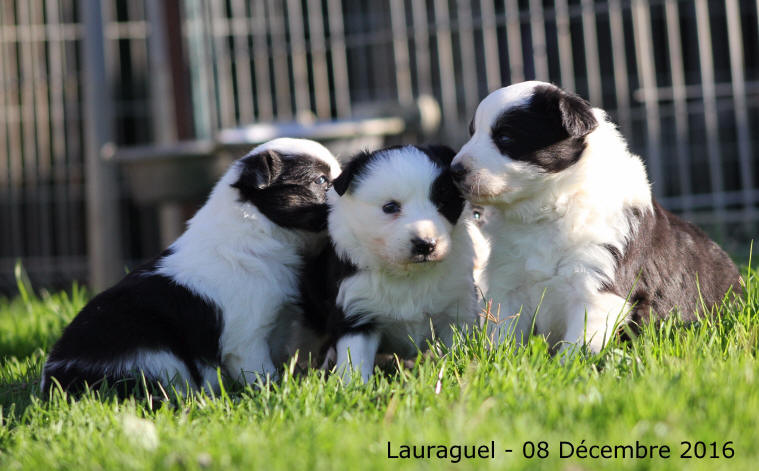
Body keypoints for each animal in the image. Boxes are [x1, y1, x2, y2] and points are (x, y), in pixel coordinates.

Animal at [40, 138, 338, 396]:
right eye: (321, 180)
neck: (259, 227)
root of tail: (56, 379)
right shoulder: (246, 338)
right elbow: (261, 374)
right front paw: (274, 393)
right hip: (155, 353)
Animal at [300, 145, 478, 384]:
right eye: (390, 207)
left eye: (443, 203)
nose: (426, 245)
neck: (408, 274)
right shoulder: (357, 311)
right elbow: (354, 360)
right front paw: (353, 387)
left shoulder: (458, 306)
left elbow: (459, 347)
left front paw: (460, 372)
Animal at [452, 81, 744, 354]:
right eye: (472, 132)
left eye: (505, 137)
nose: (454, 170)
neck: (547, 211)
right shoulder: (509, 284)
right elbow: (504, 335)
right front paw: (496, 360)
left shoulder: (596, 290)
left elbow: (578, 349)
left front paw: (569, 369)